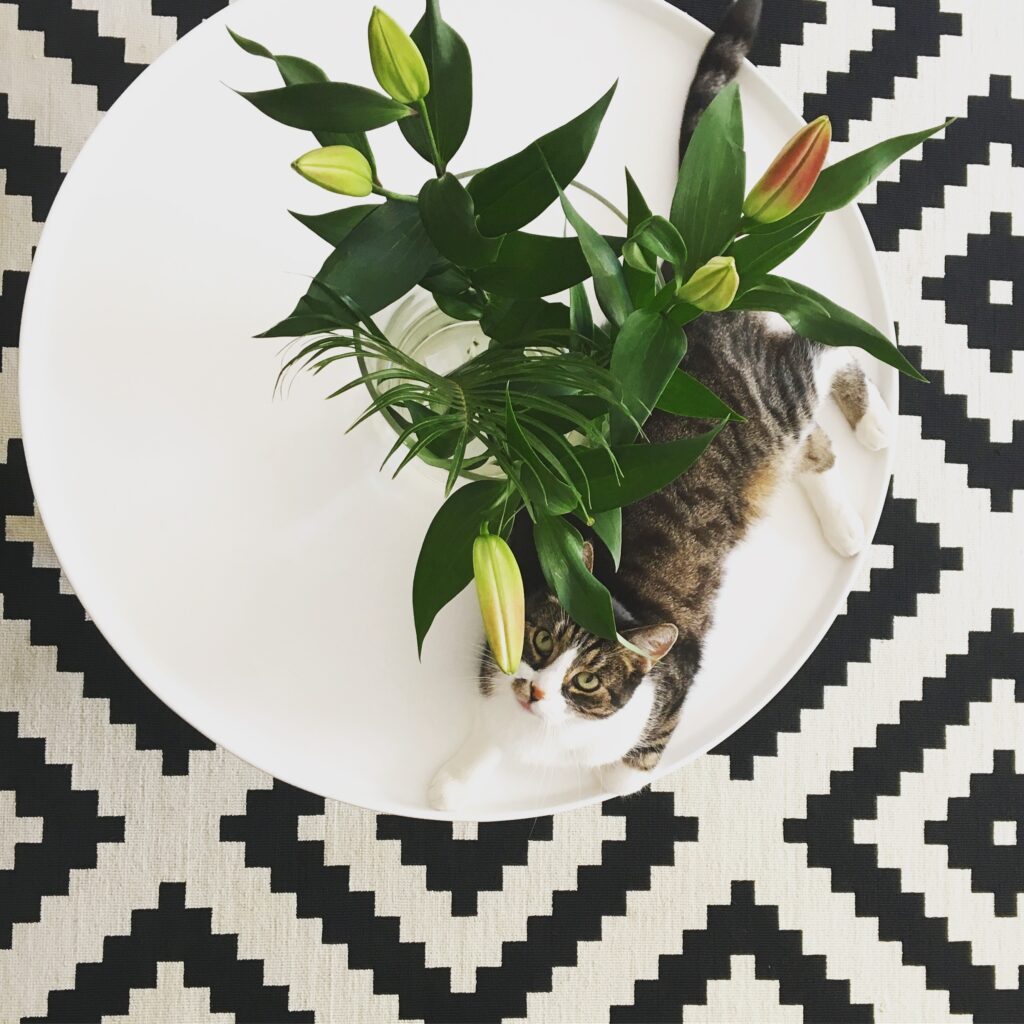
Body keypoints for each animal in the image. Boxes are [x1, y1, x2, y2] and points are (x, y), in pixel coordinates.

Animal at [423, 2, 888, 815]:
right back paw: (846, 512)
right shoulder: (494, 658)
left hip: (778, 392)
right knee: (813, 434)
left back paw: (873, 436)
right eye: (539, 644)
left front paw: (606, 778)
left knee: (834, 345)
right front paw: (454, 781)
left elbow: (624, 767)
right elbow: (484, 734)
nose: (536, 692)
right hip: (771, 424)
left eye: (585, 679)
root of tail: (680, 310)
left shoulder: (664, 698)